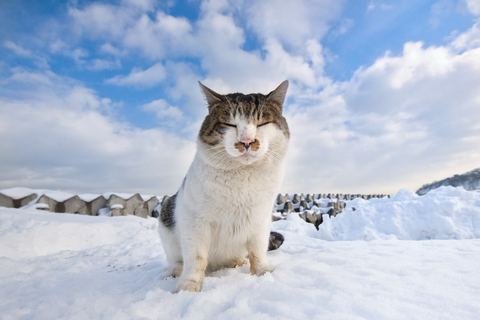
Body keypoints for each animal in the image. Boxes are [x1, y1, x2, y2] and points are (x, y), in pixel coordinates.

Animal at [159, 79, 290, 292]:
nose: (247, 141)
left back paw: (237, 261)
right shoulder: (194, 220)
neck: (243, 179)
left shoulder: (261, 219)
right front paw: (189, 284)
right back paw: (174, 271)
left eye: (262, 123)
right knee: (178, 259)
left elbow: (258, 249)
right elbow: (195, 257)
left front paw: (263, 271)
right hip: (166, 212)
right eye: (229, 124)